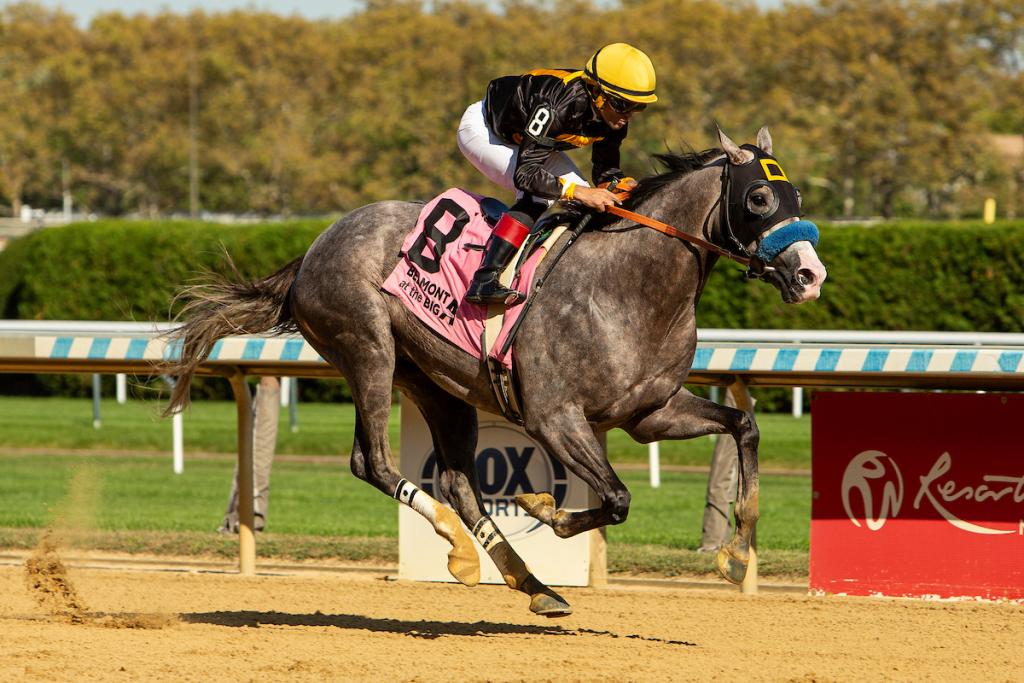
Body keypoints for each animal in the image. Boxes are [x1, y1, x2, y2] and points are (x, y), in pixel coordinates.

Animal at [163, 127, 826, 617]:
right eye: (759, 199)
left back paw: (528, 582)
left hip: (437, 384)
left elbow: (743, 427)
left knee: (458, 482)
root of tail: (311, 250)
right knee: (372, 462)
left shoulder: (650, 413)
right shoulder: (555, 417)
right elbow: (615, 497)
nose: (810, 275)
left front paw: (736, 554)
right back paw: (460, 548)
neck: (628, 285)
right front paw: (542, 506)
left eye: (796, 197)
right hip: (368, 350)